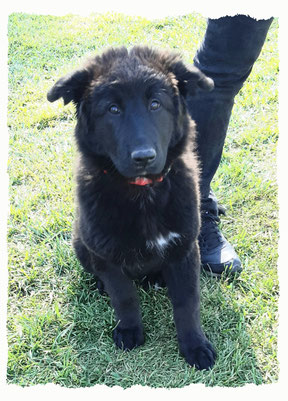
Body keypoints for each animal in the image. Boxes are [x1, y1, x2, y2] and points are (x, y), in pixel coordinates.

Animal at [47, 46, 216, 368]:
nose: (143, 157)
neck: (142, 192)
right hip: (81, 243)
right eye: (113, 109)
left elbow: (187, 303)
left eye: (155, 104)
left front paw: (195, 345)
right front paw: (129, 330)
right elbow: (124, 296)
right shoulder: (108, 255)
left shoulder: (185, 250)